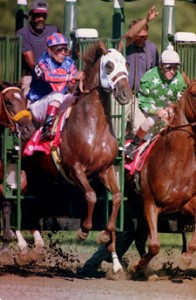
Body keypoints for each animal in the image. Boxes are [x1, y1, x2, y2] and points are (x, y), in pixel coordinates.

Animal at [17, 40, 132, 272]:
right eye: (108, 66)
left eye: (125, 63)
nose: (125, 94)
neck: (93, 125)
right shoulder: (74, 168)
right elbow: (90, 196)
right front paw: (83, 231)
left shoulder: (105, 170)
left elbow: (116, 197)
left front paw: (109, 245)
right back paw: (24, 249)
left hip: (37, 179)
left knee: (31, 207)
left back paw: (33, 250)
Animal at [128, 79, 195, 272]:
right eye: (194, 93)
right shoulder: (150, 203)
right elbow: (155, 246)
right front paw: (137, 266)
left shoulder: (186, 204)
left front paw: (185, 258)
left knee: (138, 238)